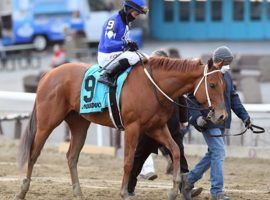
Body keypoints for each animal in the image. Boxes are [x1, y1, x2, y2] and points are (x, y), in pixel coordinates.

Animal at [15, 56, 227, 200]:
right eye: (212, 85)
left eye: (223, 85)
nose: (222, 115)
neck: (154, 86)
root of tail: (48, 74)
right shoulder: (133, 128)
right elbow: (128, 161)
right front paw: (124, 192)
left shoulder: (156, 127)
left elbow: (175, 150)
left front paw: (175, 188)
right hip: (47, 122)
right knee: (33, 153)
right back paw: (22, 190)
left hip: (79, 123)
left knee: (72, 156)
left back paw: (78, 192)